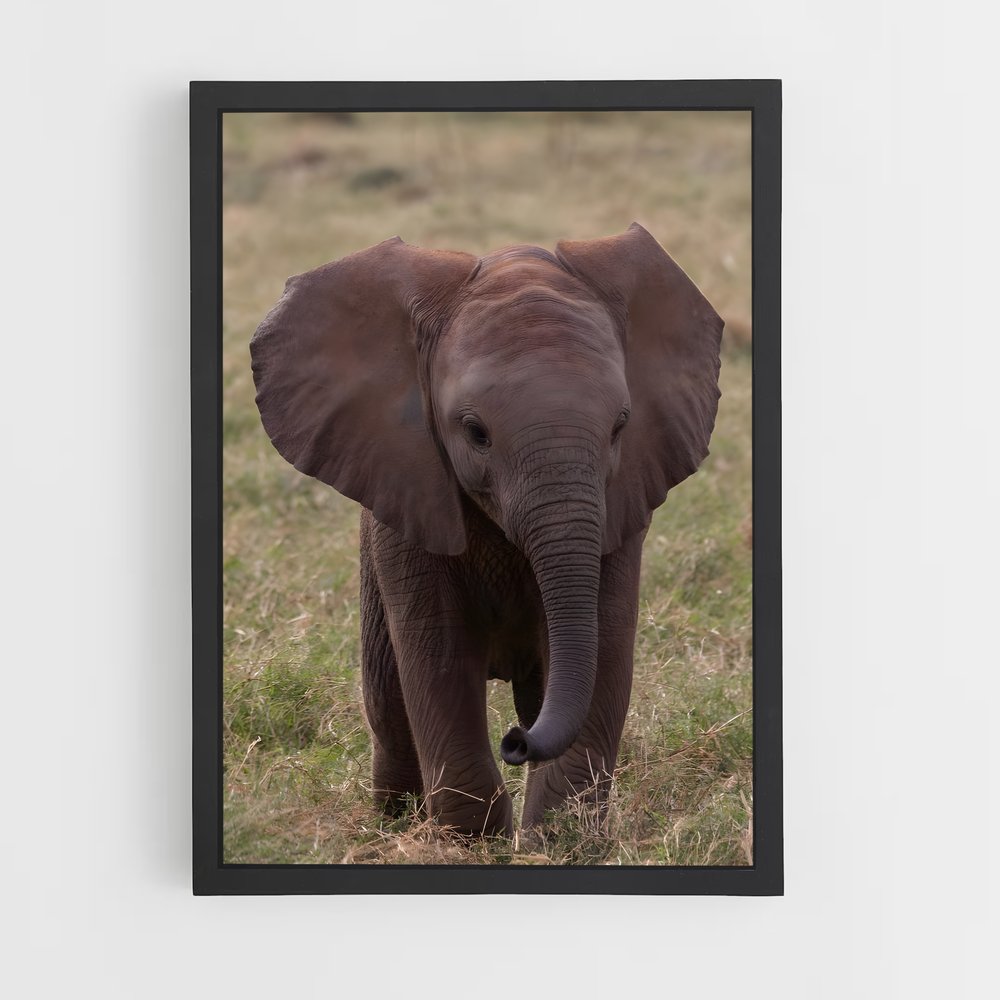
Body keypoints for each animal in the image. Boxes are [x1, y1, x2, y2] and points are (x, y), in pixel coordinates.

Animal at [250, 223, 722, 837]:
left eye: (621, 427)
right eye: (475, 432)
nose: (515, 743)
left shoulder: (622, 503)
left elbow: (605, 642)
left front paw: (559, 839)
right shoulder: (408, 496)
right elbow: (438, 654)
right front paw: (474, 841)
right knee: (389, 706)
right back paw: (395, 822)